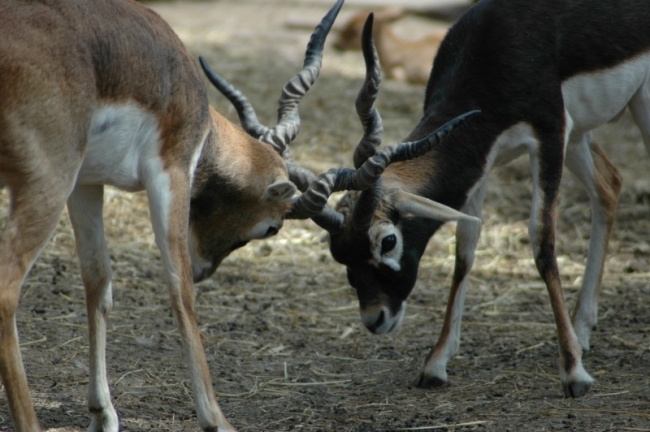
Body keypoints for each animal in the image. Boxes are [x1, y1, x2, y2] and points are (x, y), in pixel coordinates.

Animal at [262, 0, 644, 398]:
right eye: (338, 252)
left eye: (388, 242)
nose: (374, 319)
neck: (494, 45)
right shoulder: (480, 158)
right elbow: (464, 250)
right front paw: (436, 363)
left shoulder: (550, 134)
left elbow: (542, 243)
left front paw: (573, 372)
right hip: (582, 133)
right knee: (609, 184)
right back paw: (582, 329)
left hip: (628, 108)